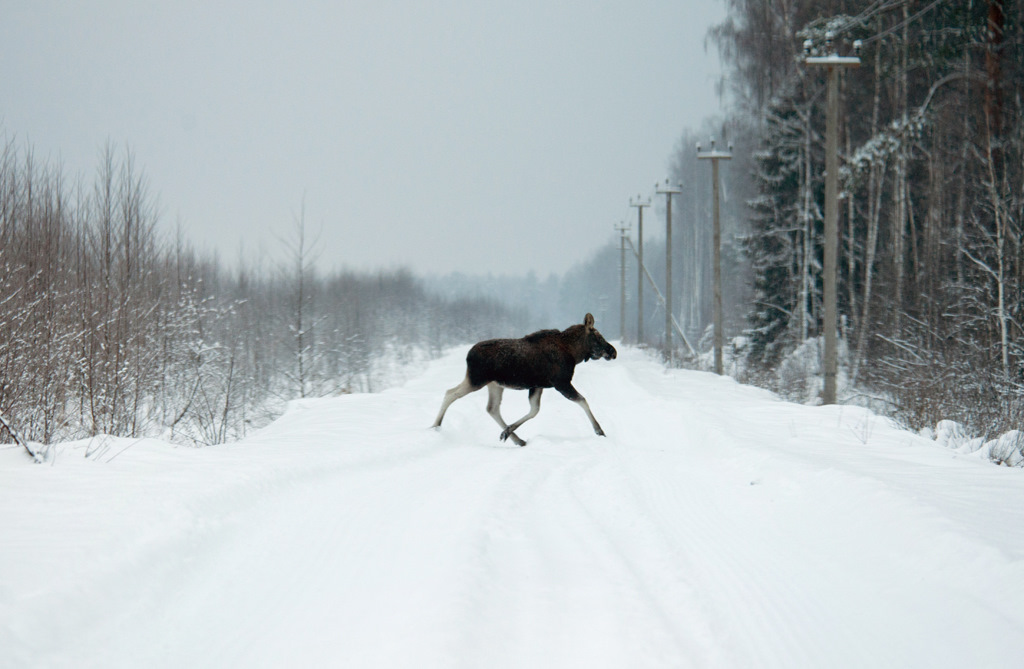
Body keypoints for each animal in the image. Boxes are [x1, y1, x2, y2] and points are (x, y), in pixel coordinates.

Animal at [430, 311, 614, 442]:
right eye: (598, 336)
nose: (613, 351)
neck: (574, 353)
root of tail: (468, 355)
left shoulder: (538, 385)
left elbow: (534, 410)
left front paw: (506, 431)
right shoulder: (561, 382)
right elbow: (582, 400)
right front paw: (599, 430)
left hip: (494, 384)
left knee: (492, 408)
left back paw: (517, 439)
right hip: (477, 379)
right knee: (450, 393)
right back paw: (435, 426)